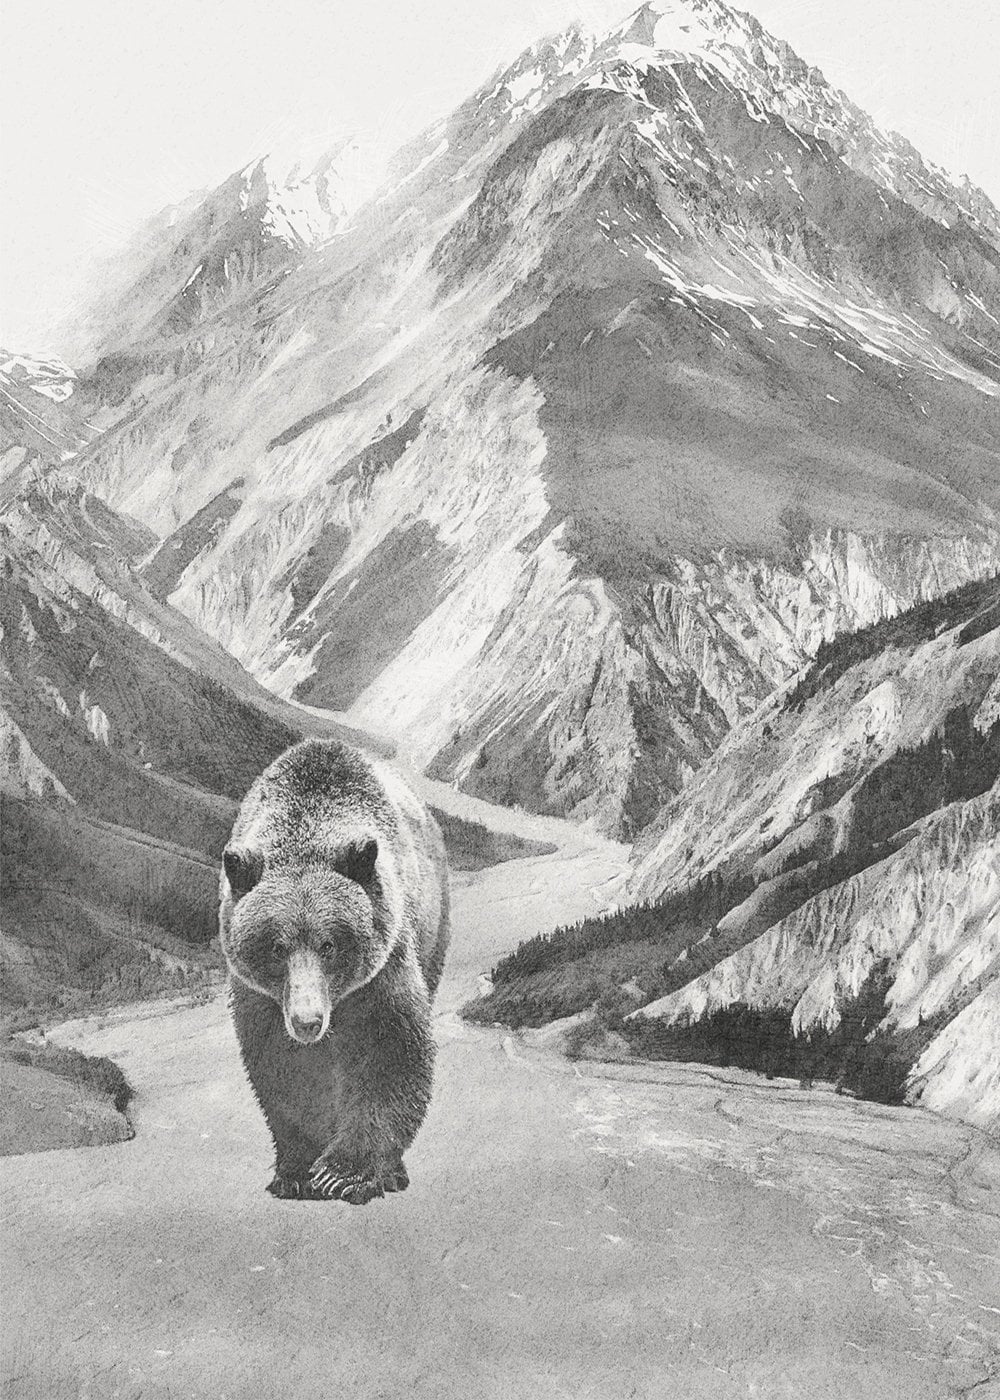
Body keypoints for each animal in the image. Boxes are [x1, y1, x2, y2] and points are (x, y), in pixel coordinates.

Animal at [218, 737, 450, 1204]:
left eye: (330, 945)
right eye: (276, 947)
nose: (308, 1021)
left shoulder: (383, 969)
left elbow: (393, 1052)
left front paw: (343, 1172)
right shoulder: (261, 999)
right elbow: (279, 1068)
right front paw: (295, 1172)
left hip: (434, 930)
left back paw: (393, 1174)